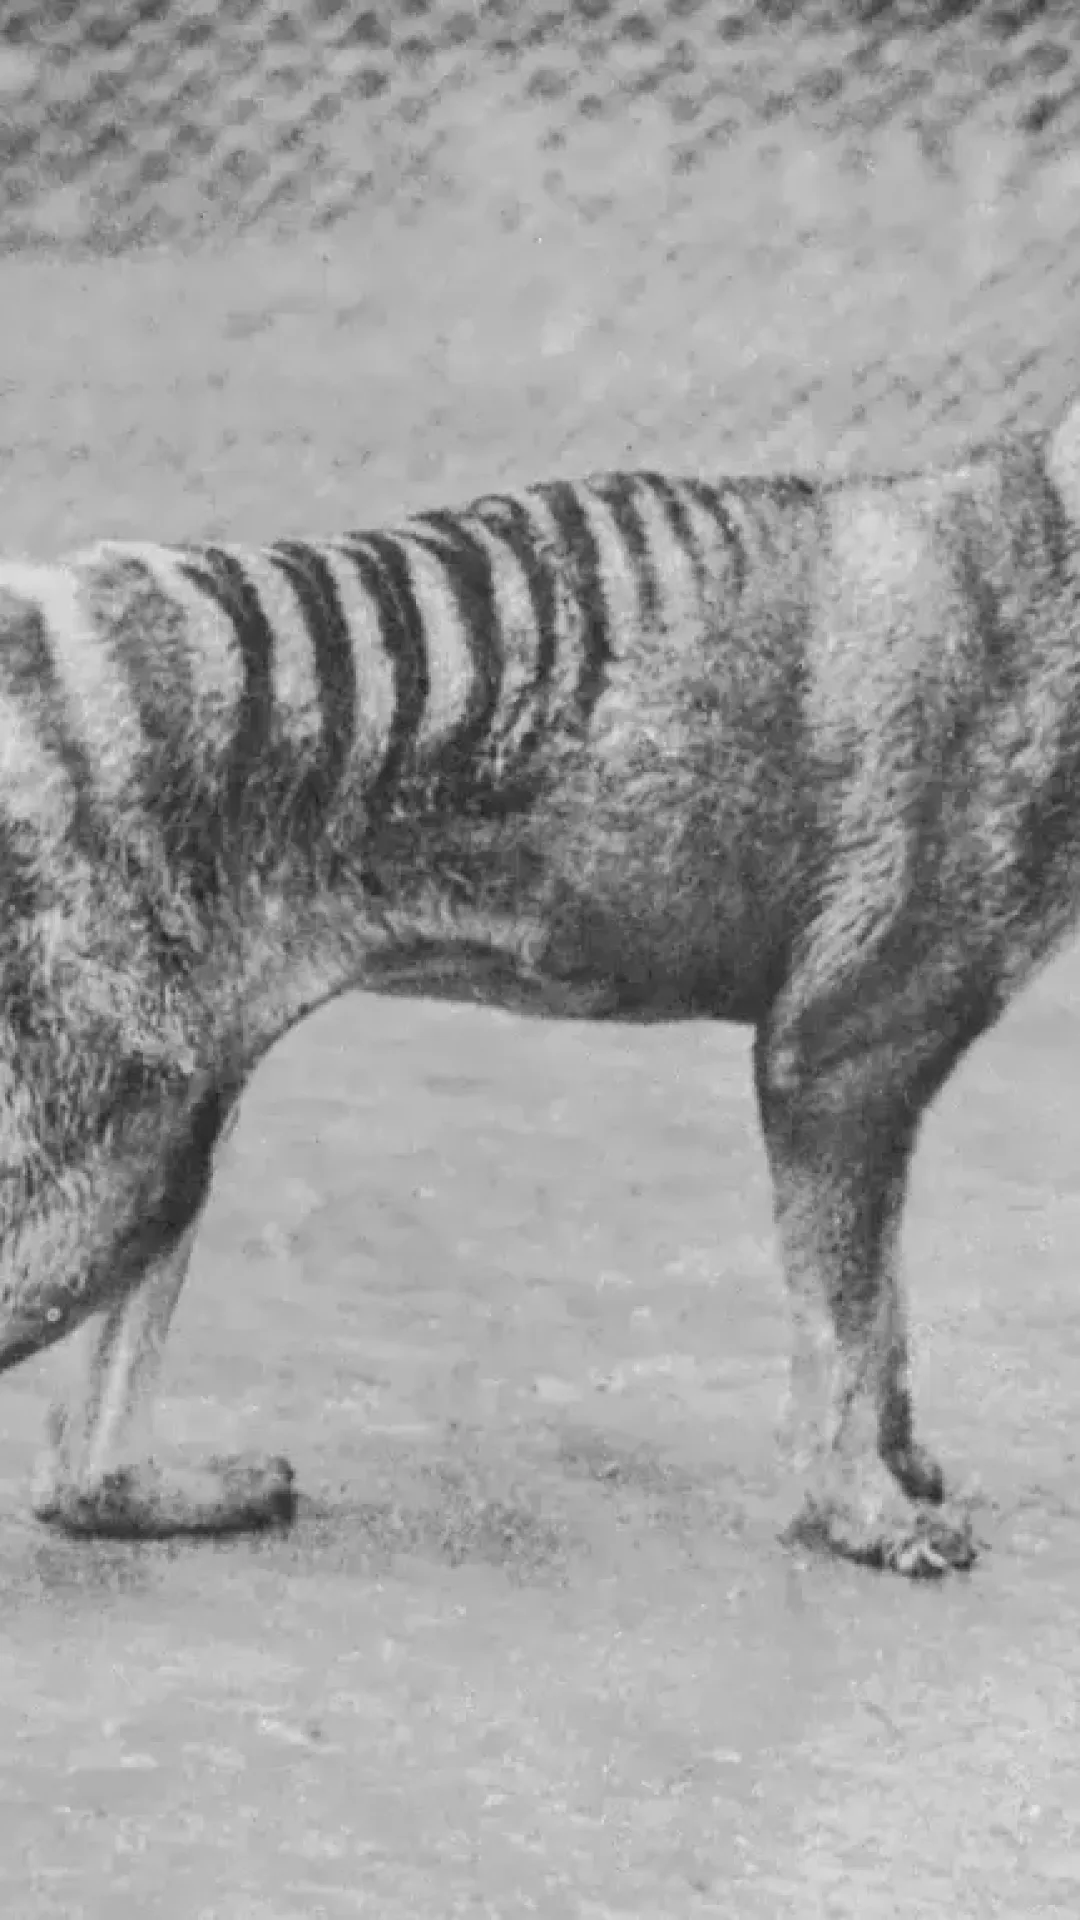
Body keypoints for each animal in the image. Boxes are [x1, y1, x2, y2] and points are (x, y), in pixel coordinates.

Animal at [6, 395, 1080, 1578]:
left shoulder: (873, 1083)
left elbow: (884, 1312)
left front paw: (901, 1466)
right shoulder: (842, 1054)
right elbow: (847, 1328)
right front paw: (862, 1510)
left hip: (181, 1125)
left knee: (78, 1478)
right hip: (105, 1173)